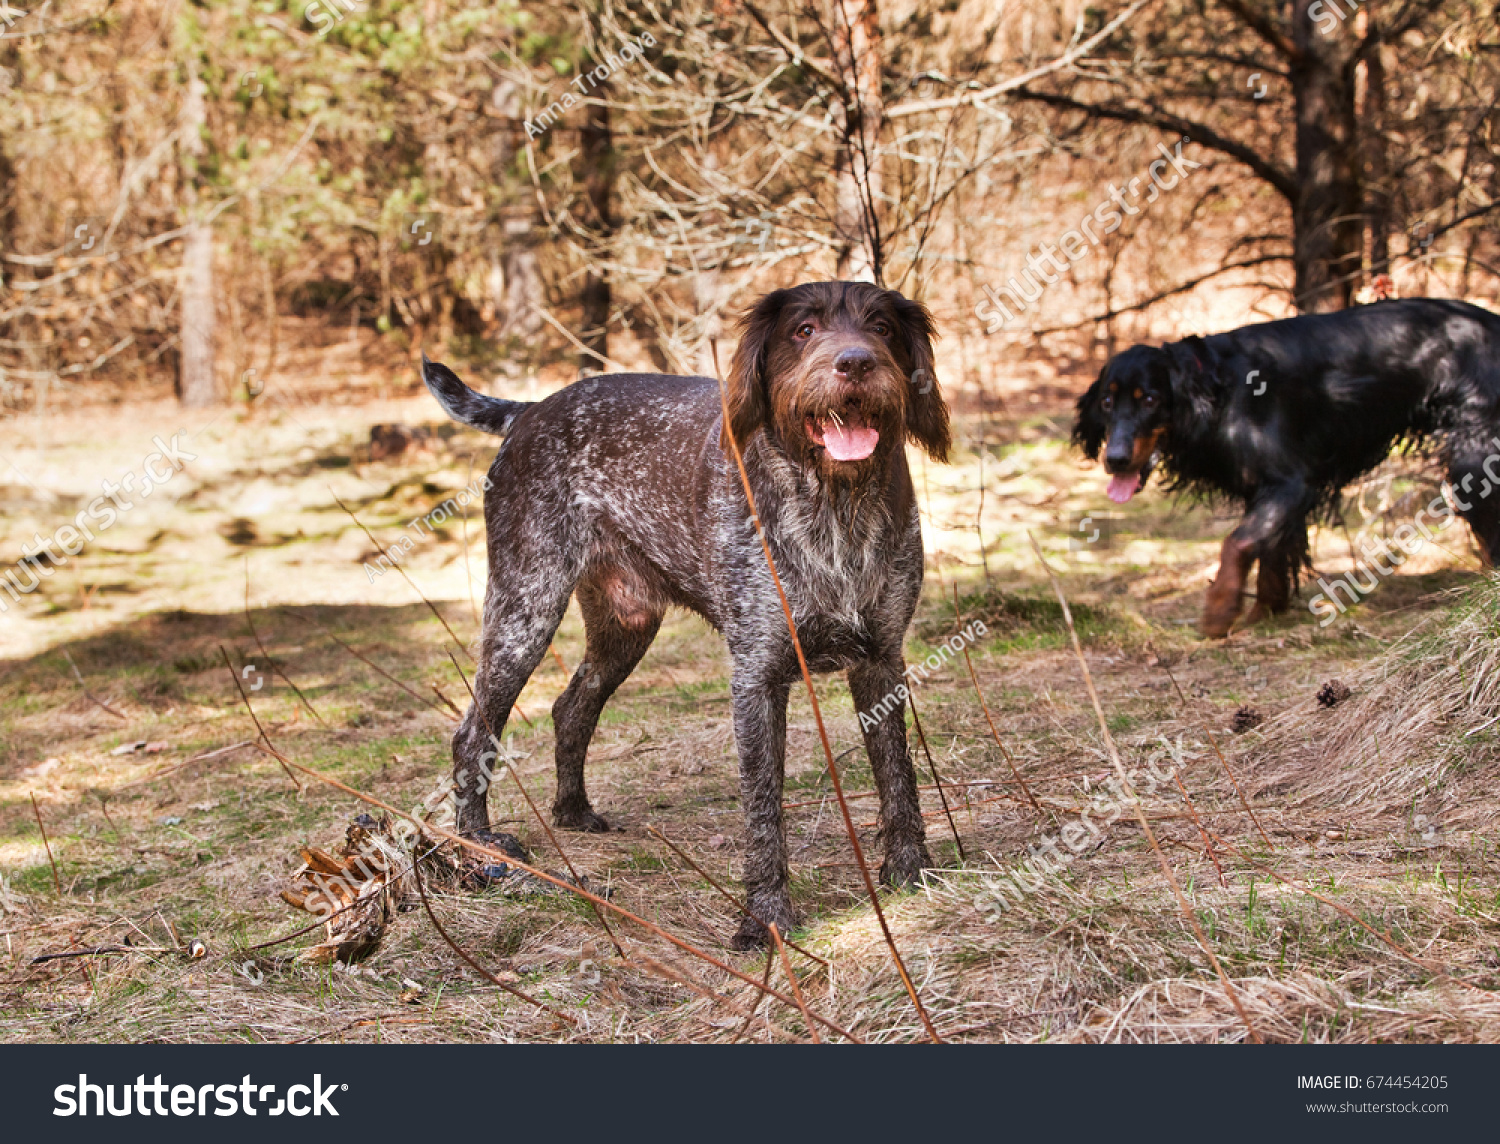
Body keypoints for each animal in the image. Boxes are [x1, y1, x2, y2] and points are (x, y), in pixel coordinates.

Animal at [423, 280, 948, 947]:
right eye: (803, 330)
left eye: (881, 327)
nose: (854, 363)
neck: (835, 501)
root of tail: (532, 409)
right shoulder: (757, 678)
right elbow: (763, 810)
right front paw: (766, 917)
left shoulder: (881, 660)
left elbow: (897, 779)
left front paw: (912, 872)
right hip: (526, 610)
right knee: (473, 732)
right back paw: (478, 843)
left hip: (625, 626)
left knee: (571, 707)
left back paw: (573, 811)